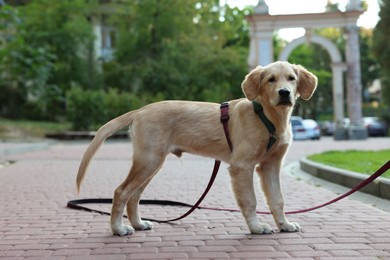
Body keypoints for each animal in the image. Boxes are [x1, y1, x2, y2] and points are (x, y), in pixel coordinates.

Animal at [76, 61, 316, 236]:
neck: (268, 117)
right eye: (270, 79)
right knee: (121, 192)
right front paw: (257, 228)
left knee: (133, 196)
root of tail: (140, 110)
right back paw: (118, 229)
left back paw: (138, 224)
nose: (284, 93)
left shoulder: (270, 166)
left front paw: (284, 225)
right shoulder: (242, 166)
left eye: (292, 79)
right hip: (149, 160)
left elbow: (277, 199)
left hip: (151, 162)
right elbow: (250, 200)